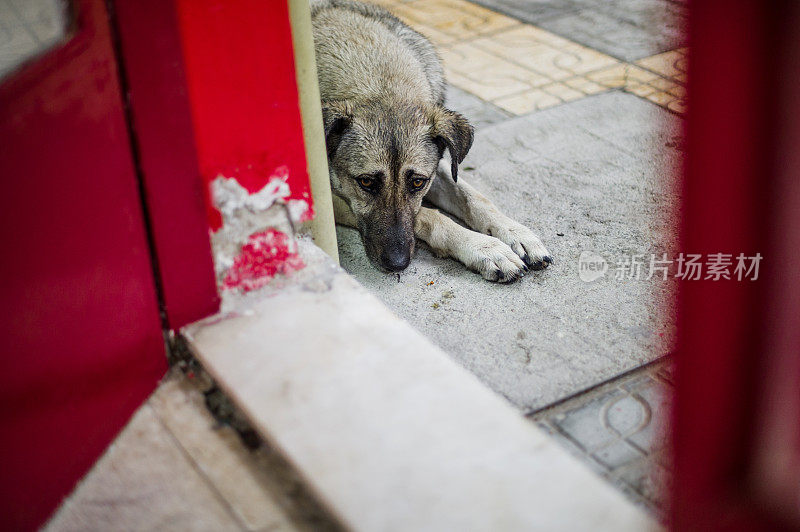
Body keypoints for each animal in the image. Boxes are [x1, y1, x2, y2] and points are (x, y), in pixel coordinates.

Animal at [310, 0, 552, 282]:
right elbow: (429, 216)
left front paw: (515, 233)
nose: (397, 263)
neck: (380, 83)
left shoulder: (437, 167)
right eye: (366, 182)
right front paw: (483, 247)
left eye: (417, 182)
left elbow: (474, 199)